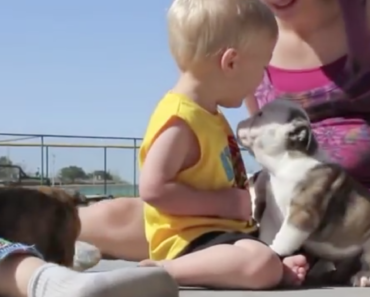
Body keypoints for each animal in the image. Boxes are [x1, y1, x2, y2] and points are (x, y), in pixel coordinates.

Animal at [238, 98, 370, 286]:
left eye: (260, 114)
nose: (241, 122)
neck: (285, 163)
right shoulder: (270, 217)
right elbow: (269, 235)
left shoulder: (302, 212)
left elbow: (284, 238)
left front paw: (274, 251)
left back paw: (362, 277)